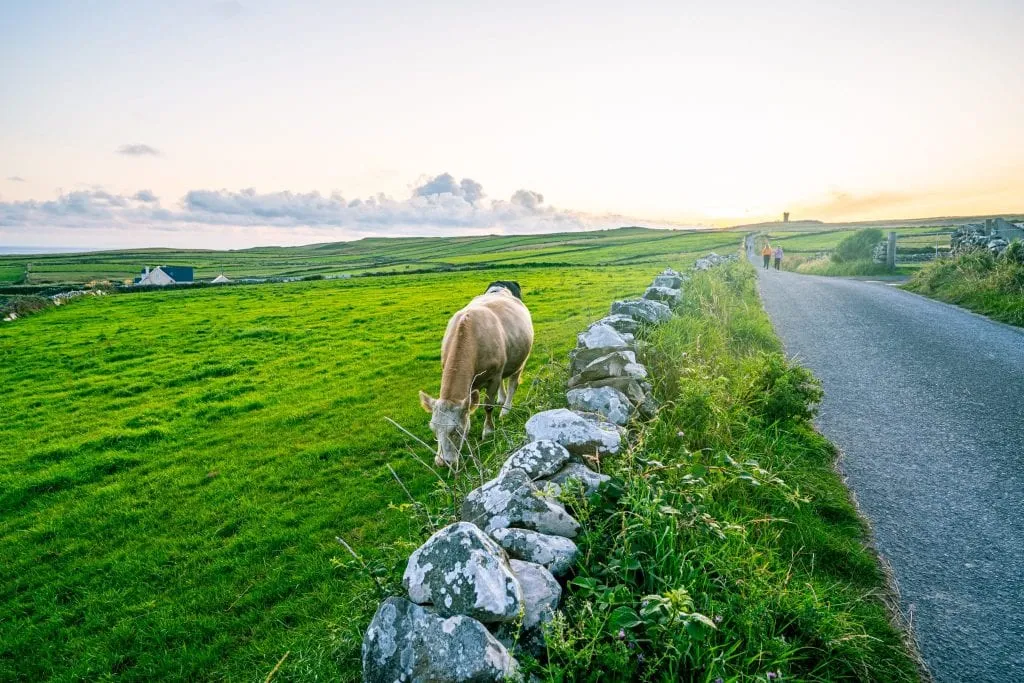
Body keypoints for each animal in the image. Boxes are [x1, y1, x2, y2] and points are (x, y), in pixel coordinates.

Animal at [417, 282, 532, 464]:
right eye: (433, 429)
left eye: (455, 430)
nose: (442, 462)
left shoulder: (494, 377)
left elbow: (488, 406)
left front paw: (488, 431)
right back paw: (501, 399)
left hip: (520, 361)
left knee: (513, 384)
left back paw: (505, 409)